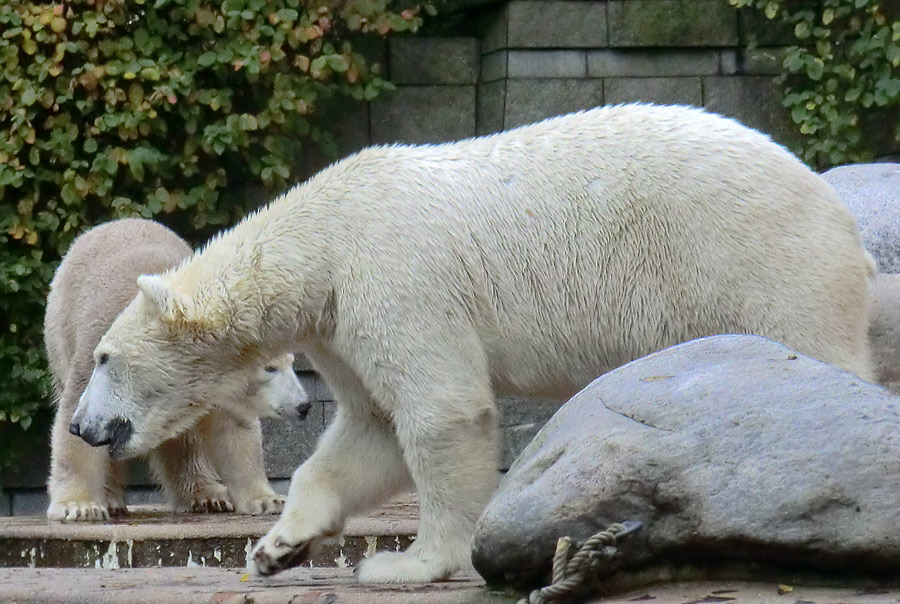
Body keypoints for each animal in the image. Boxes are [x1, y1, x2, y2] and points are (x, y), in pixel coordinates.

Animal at [46, 219, 312, 520]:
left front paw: (268, 500)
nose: (303, 405)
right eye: (269, 368)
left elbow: (234, 428)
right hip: (61, 331)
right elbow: (83, 421)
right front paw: (78, 506)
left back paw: (207, 495)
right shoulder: (98, 357)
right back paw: (113, 499)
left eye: (292, 363)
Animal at [74, 106, 876, 584]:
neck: (320, 240)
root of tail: (836, 214)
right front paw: (275, 547)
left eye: (107, 359)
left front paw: (409, 564)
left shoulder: (394, 278)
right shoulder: (341, 321)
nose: (83, 425)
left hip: (754, 259)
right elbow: (370, 431)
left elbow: (441, 413)